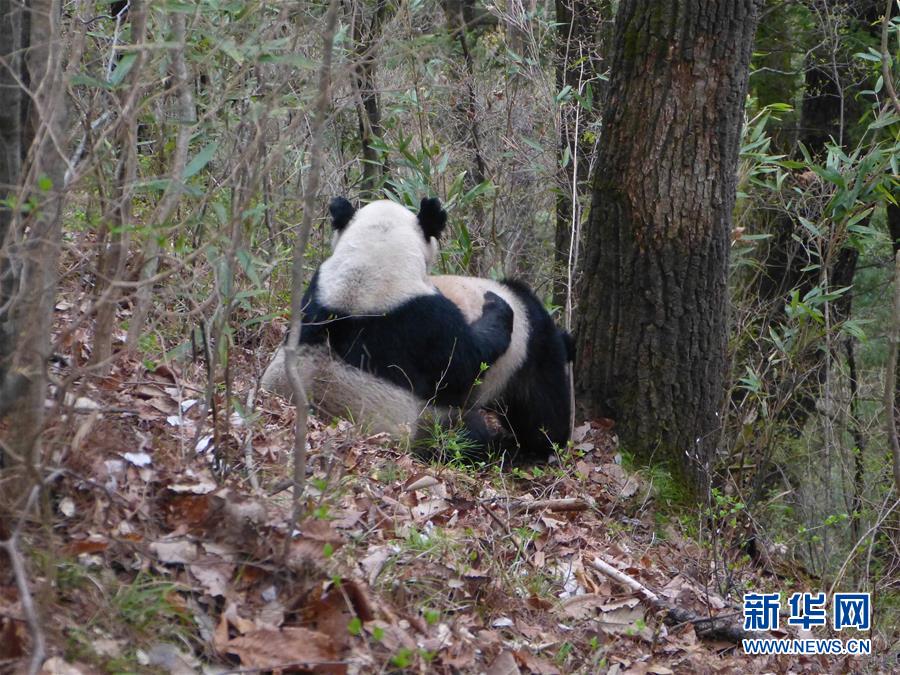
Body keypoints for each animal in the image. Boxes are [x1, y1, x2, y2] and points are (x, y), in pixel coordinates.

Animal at [260, 197, 515, 445]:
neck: (368, 264)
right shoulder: (426, 321)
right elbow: (465, 364)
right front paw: (497, 305)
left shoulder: (316, 291)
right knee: (462, 432)